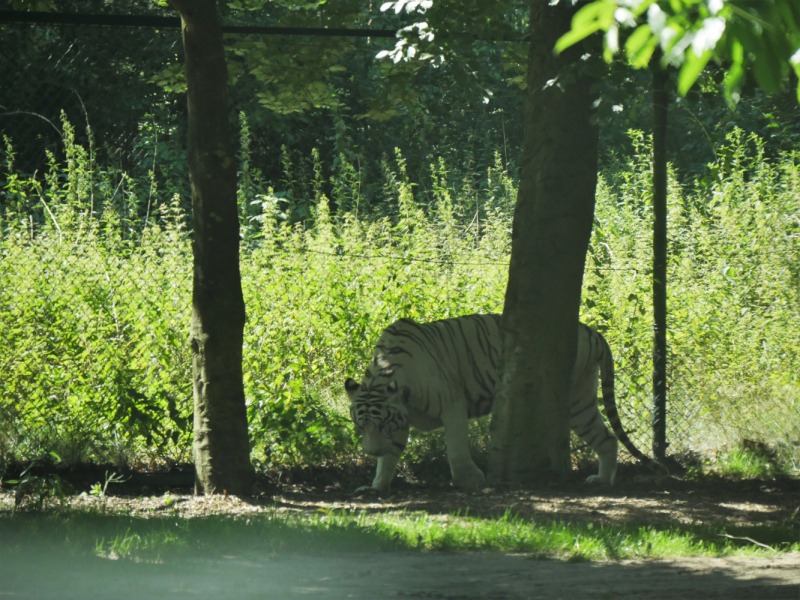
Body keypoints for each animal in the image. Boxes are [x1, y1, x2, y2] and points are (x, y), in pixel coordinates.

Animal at [344, 314, 656, 492]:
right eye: (361, 426)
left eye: (381, 424)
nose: (369, 452)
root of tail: (593, 332)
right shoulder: (401, 417)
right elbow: (390, 457)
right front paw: (376, 486)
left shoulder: (451, 404)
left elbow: (455, 447)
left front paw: (470, 481)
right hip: (583, 402)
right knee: (607, 438)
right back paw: (602, 481)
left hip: (577, 399)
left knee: (606, 437)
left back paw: (602, 480)